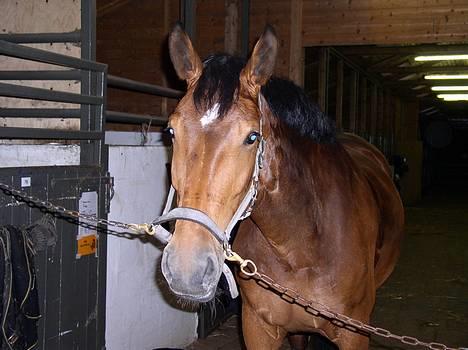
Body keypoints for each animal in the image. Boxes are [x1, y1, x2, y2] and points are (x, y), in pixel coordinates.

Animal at [160, 23, 402, 348]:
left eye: (252, 137)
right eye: (171, 131)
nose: (187, 269)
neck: (300, 246)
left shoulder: (354, 335)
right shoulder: (257, 327)